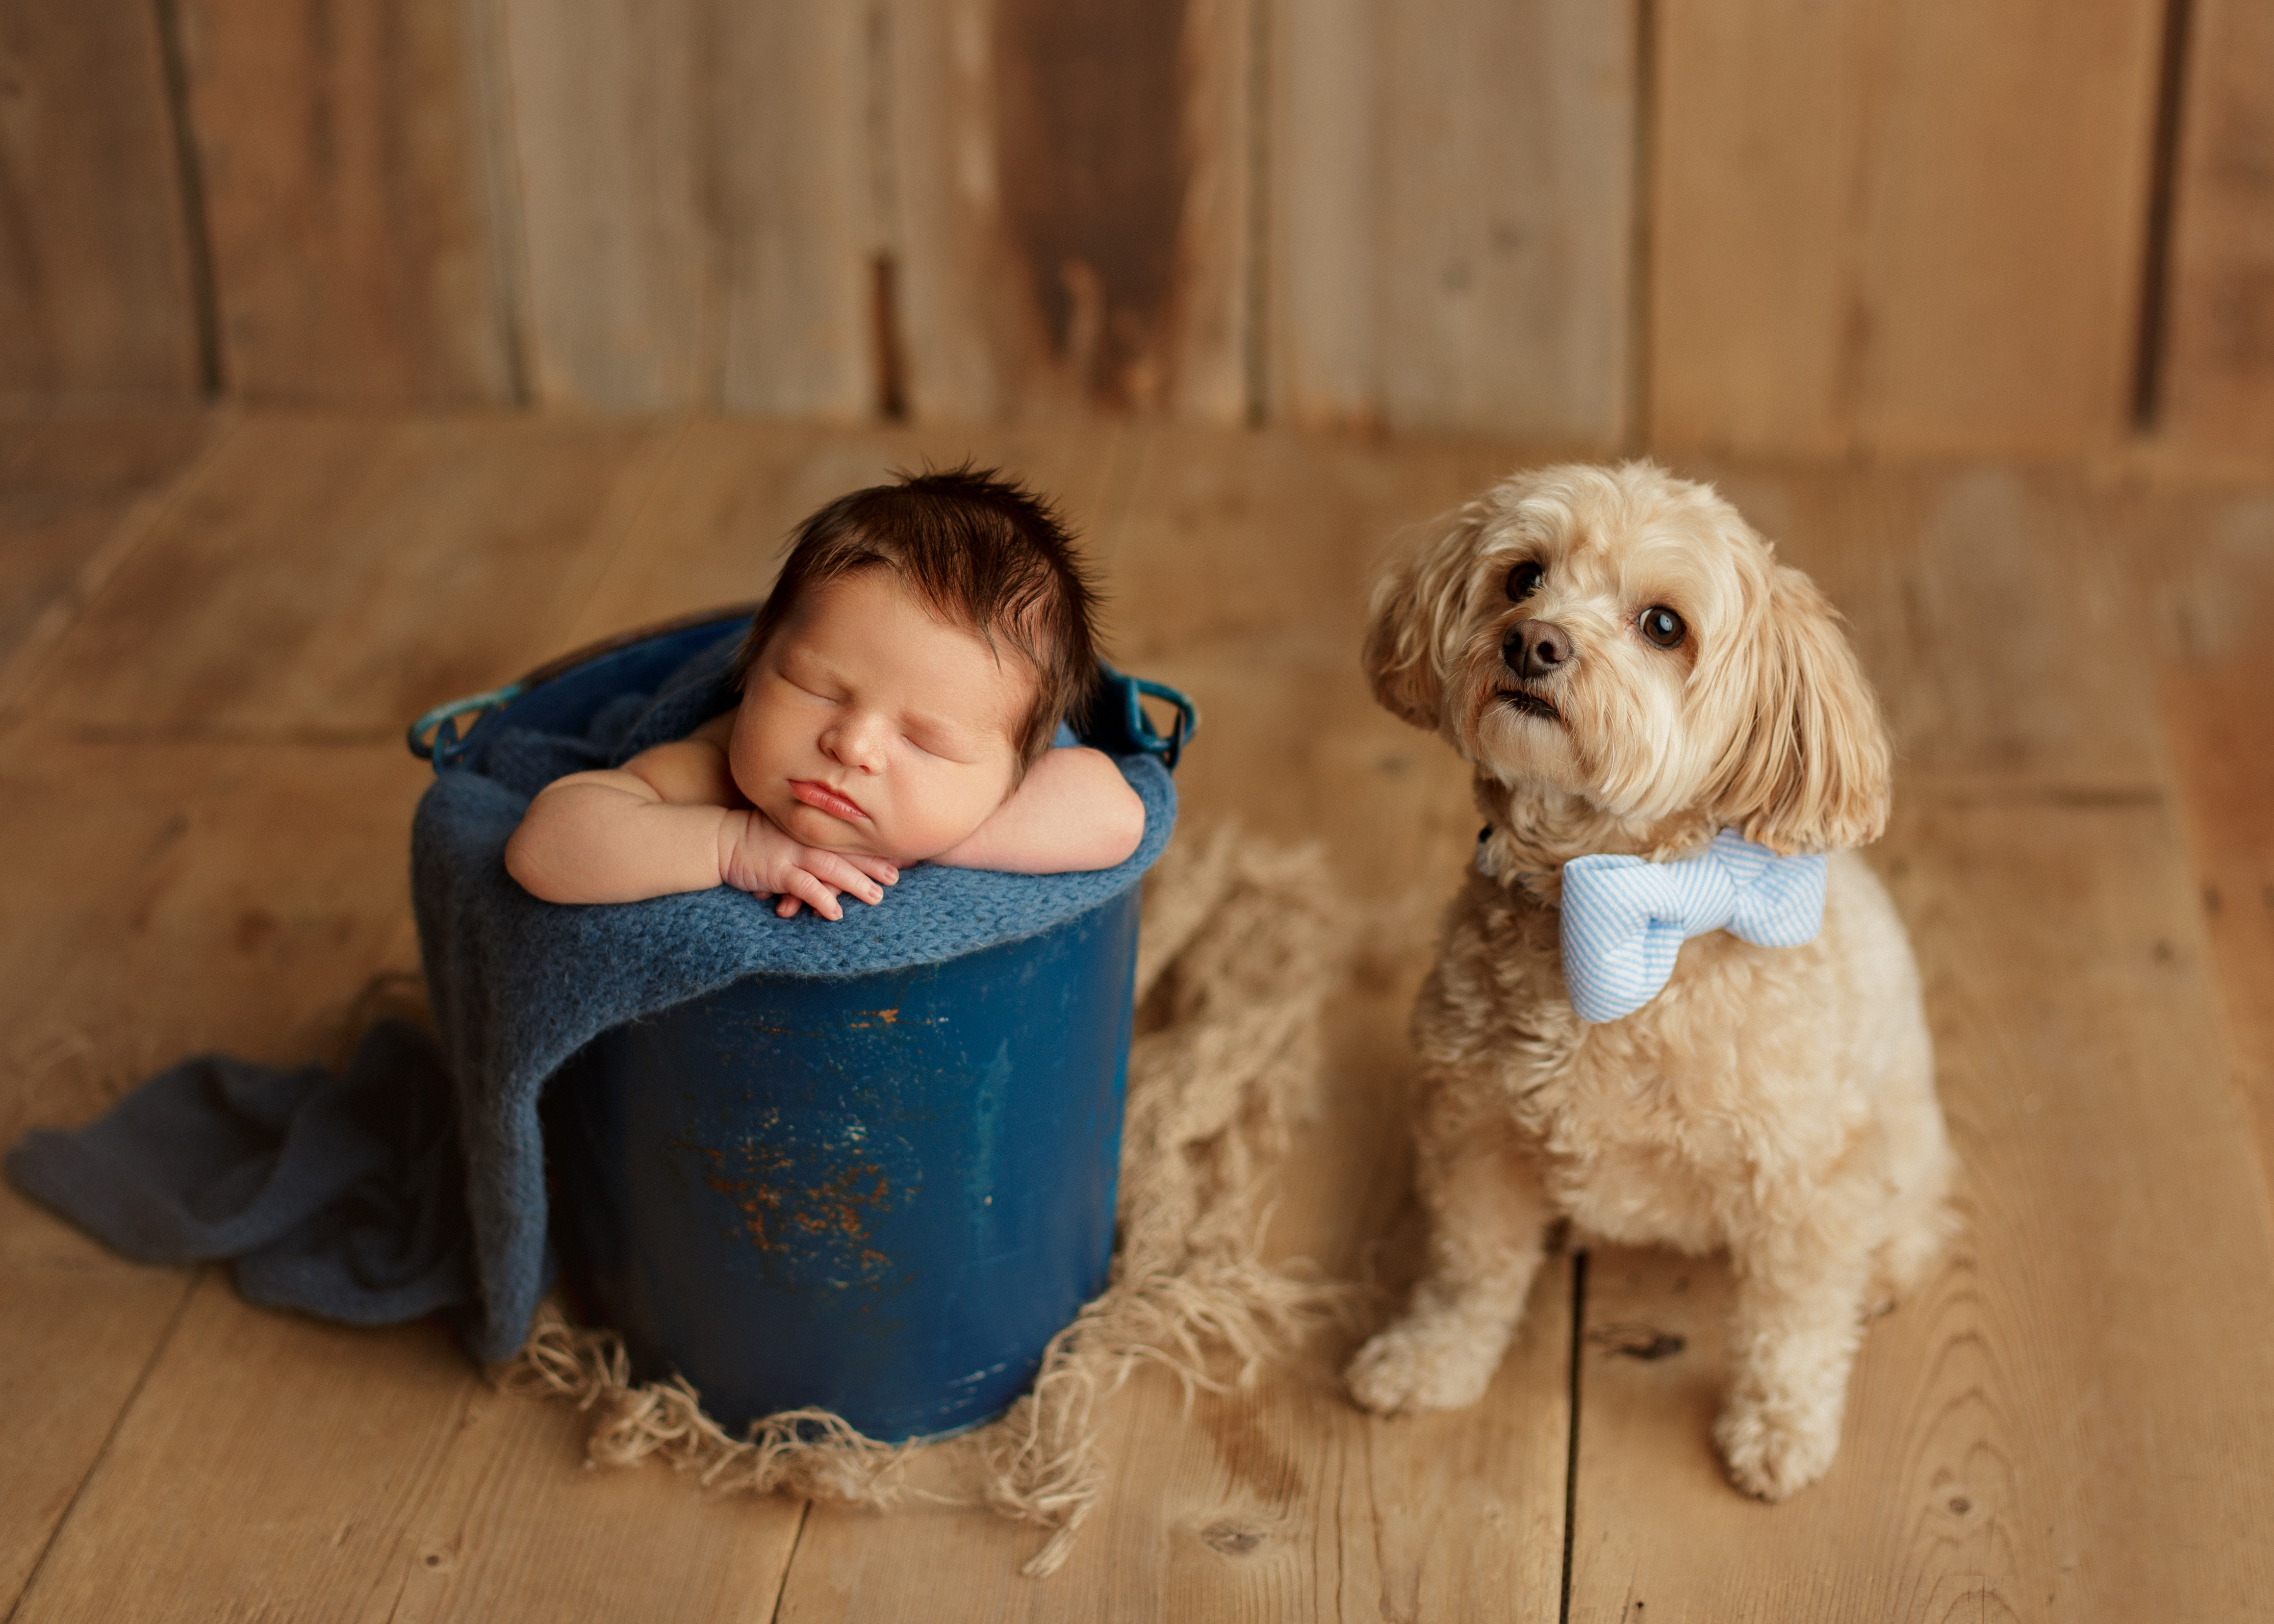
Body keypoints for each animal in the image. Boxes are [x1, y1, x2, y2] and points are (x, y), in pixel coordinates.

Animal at [1346, 455, 1955, 1492]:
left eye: (1663, 625)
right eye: (1522, 577)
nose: (1533, 642)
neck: (1612, 906)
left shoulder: (1806, 1175)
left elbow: (1793, 1320)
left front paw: (1780, 1428)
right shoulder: (1473, 1134)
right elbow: (1472, 1268)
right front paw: (1432, 1357)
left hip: (1898, 1136)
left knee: (1905, 1220)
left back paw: (1884, 1269)